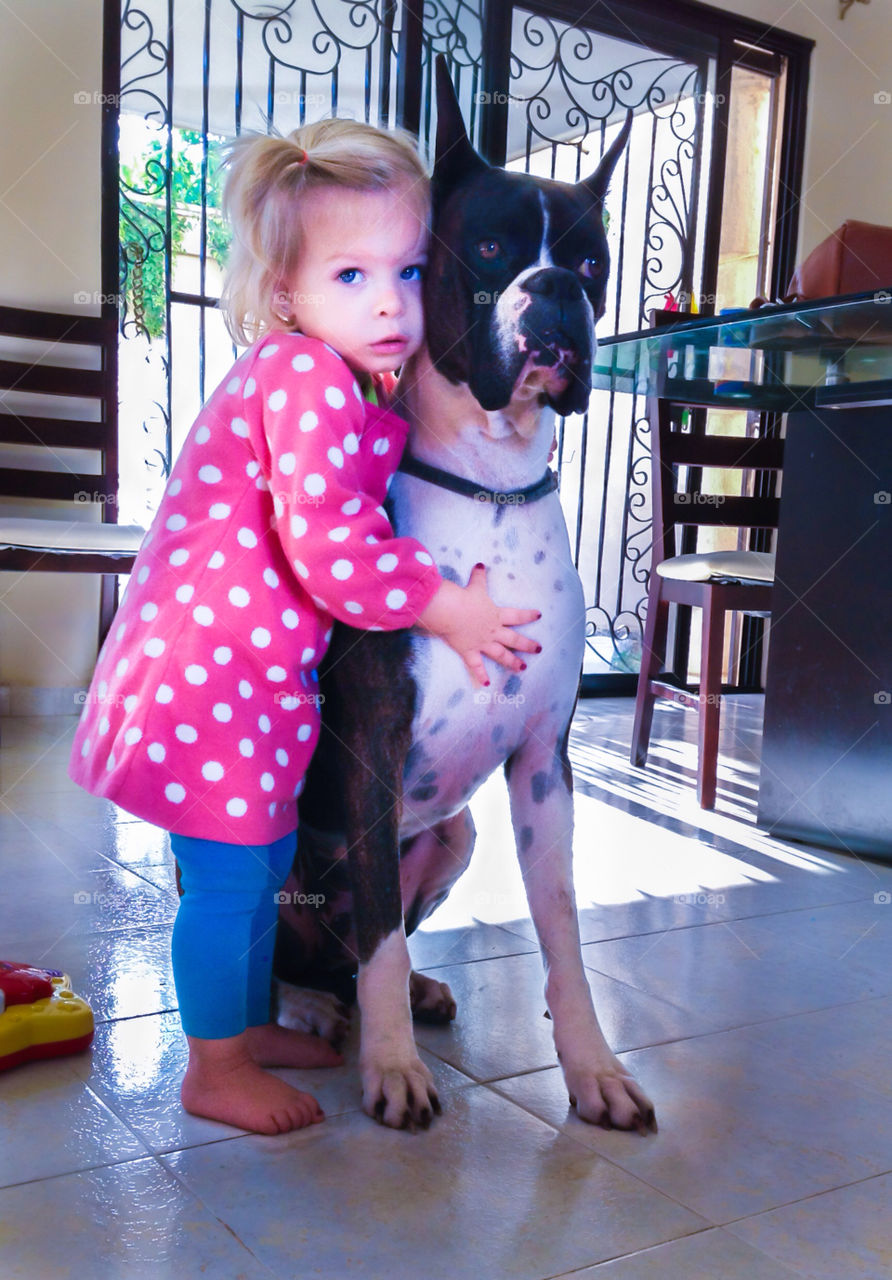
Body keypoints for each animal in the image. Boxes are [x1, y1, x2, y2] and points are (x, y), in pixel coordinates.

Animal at [272, 60, 655, 1136]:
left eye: (594, 261)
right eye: (487, 247)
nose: (555, 289)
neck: (491, 485)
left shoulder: (542, 772)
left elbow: (562, 934)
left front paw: (593, 1067)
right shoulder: (372, 748)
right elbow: (376, 929)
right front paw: (393, 1066)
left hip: (458, 829)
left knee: (377, 934)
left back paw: (409, 991)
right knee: (307, 957)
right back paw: (314, 1006)